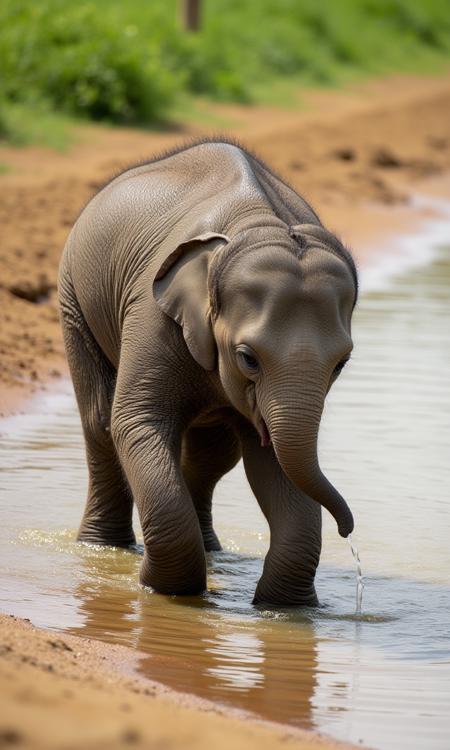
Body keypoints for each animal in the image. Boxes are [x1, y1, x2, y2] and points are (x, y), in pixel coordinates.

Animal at [58, 141, 356, 608]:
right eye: (248, 358)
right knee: (100, 423)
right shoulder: (151, 312)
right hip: (74, 300)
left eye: (341, 364)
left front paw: (283, 606)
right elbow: (137, 421)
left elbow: (274, 460)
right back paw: (103, 548)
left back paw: (212, 550)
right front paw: (163, 590)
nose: (348, 530)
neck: (260, 222)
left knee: (213, 453)